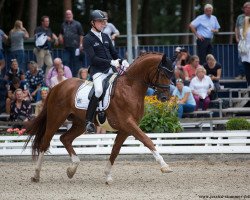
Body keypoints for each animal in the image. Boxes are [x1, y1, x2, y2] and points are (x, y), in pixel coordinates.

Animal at [23, 52, 174, 184]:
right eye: (163, 73)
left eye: (171, 74)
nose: (165, 97)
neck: (130, 87)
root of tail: (57, 87)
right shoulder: (128, 124)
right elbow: (147, 140)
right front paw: (164, 166)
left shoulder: (125, 129)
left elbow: (115, 151)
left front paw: (107, 176)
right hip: (56, 118)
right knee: (45, 142)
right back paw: (36, 175)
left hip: (80, 124)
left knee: (65, 138)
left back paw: (72, 169)